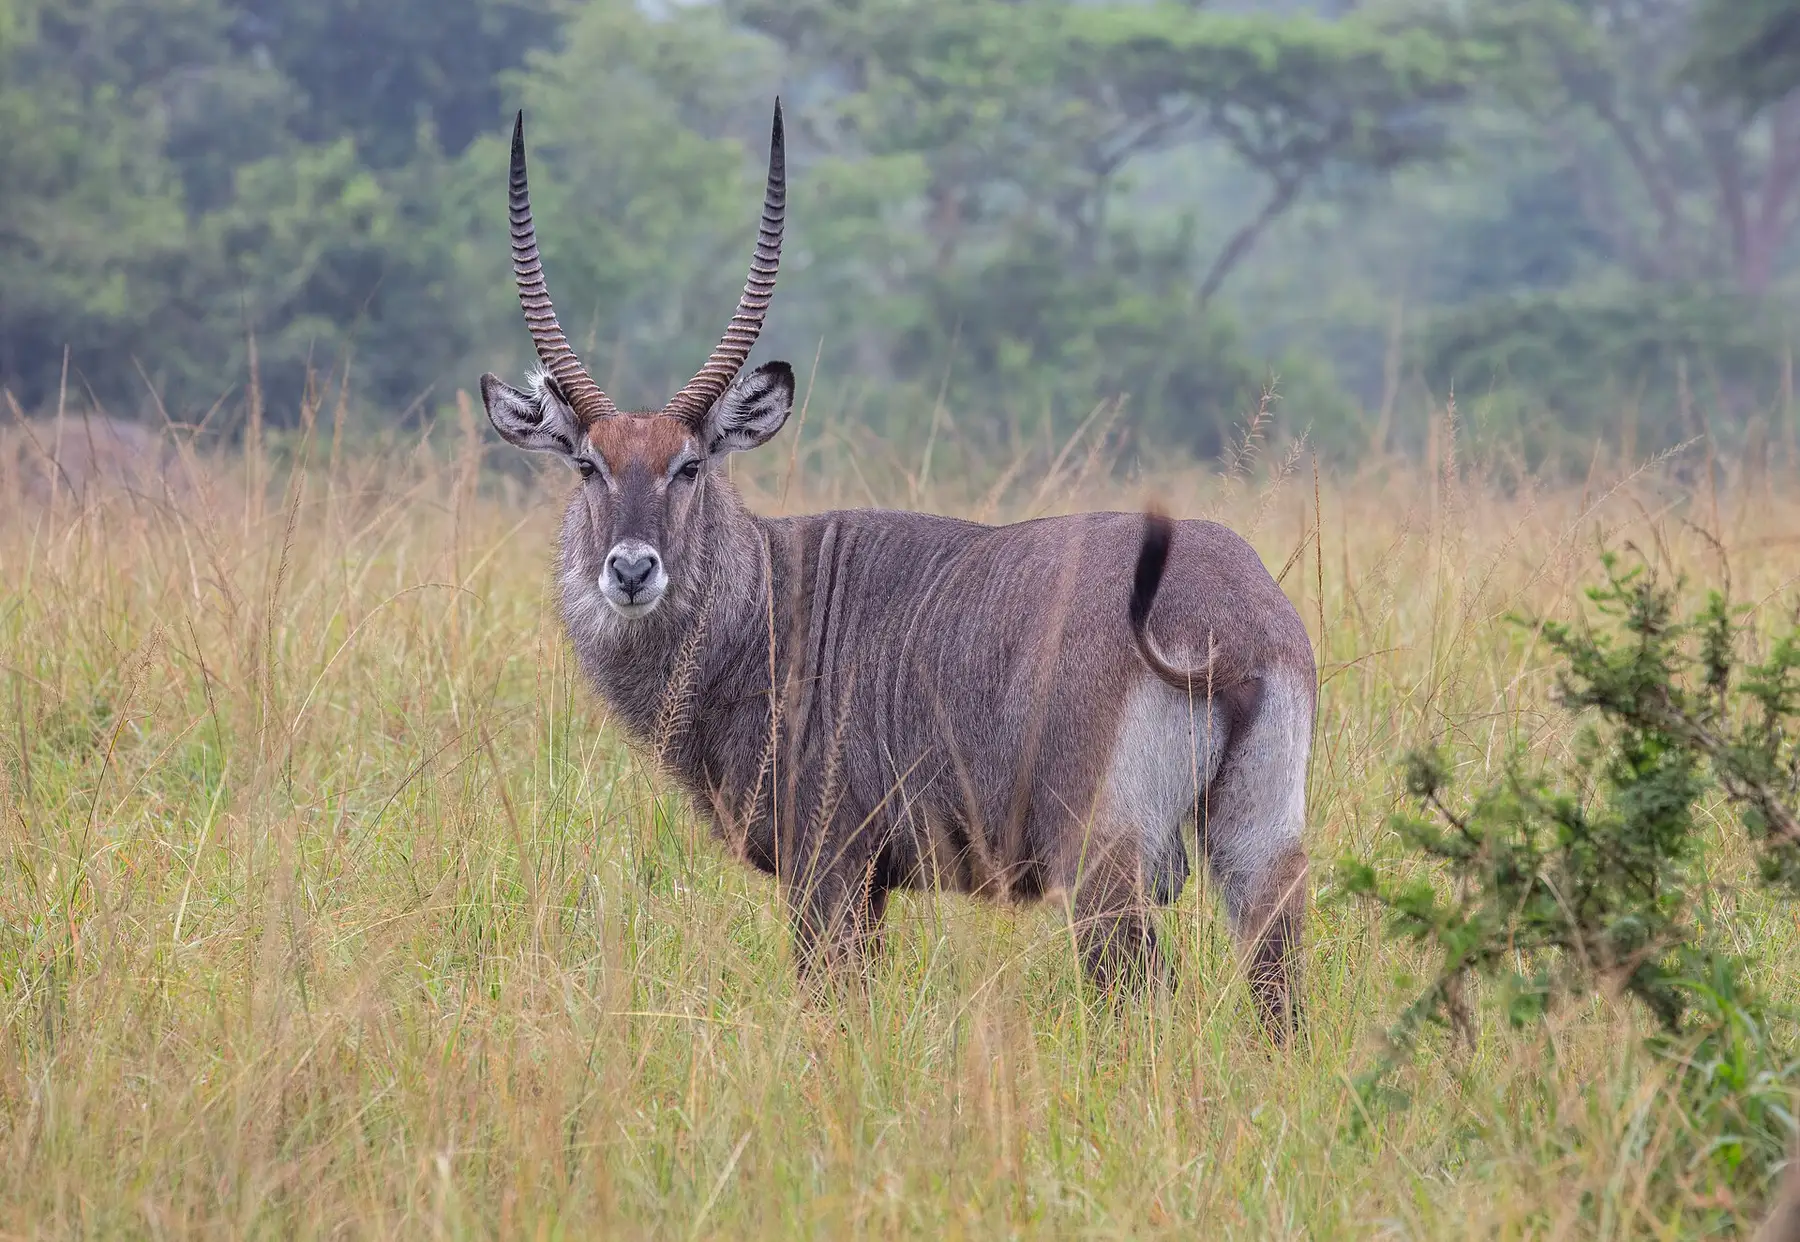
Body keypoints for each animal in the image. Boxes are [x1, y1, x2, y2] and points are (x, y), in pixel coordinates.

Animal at [479, 103, 1316, 1036]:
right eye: (588, 466)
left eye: (690, 465)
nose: (630, 570)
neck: (764, 604)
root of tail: (1228, 616)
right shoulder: (870, 878)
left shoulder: (828, 862)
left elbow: (832, 997)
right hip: (1263, 841)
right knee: (1279, 988)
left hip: (1105, 860)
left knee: (1135, 990)